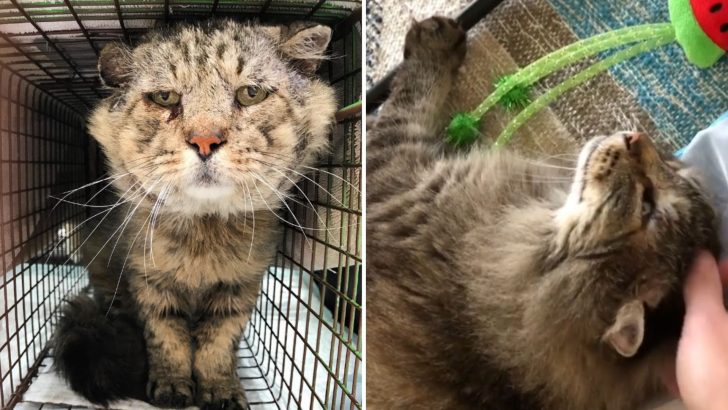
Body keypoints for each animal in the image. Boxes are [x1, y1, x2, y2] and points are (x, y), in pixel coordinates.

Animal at [53, 17, 336, 408]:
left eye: (251, 94)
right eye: (164, 97)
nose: (205, 140)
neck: (203, 238)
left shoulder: (239, 287)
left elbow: (216, 347)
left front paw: (220, 390)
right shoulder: (149, 281)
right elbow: (168, 342)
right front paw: (171, 387)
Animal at [366, 16, 720, 410]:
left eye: (647, 205)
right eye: (673, 171)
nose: (636, 137)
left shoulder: (400, 171)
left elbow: (411, 94)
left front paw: (433, 42)